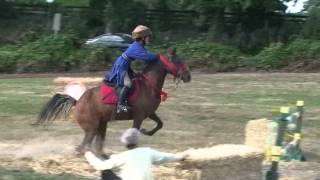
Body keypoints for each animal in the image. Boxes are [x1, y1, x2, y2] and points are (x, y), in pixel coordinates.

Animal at [34, 48, 190, 155]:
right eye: (178, 61)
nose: (188, 76)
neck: (148, 86)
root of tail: (77, 101)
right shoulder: (139, 116)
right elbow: (135, 134)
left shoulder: (150, 113)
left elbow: (159, 124)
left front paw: (146, 131)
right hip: (91, 128)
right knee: (84, 146)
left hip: (101, 125)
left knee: (94, 146)